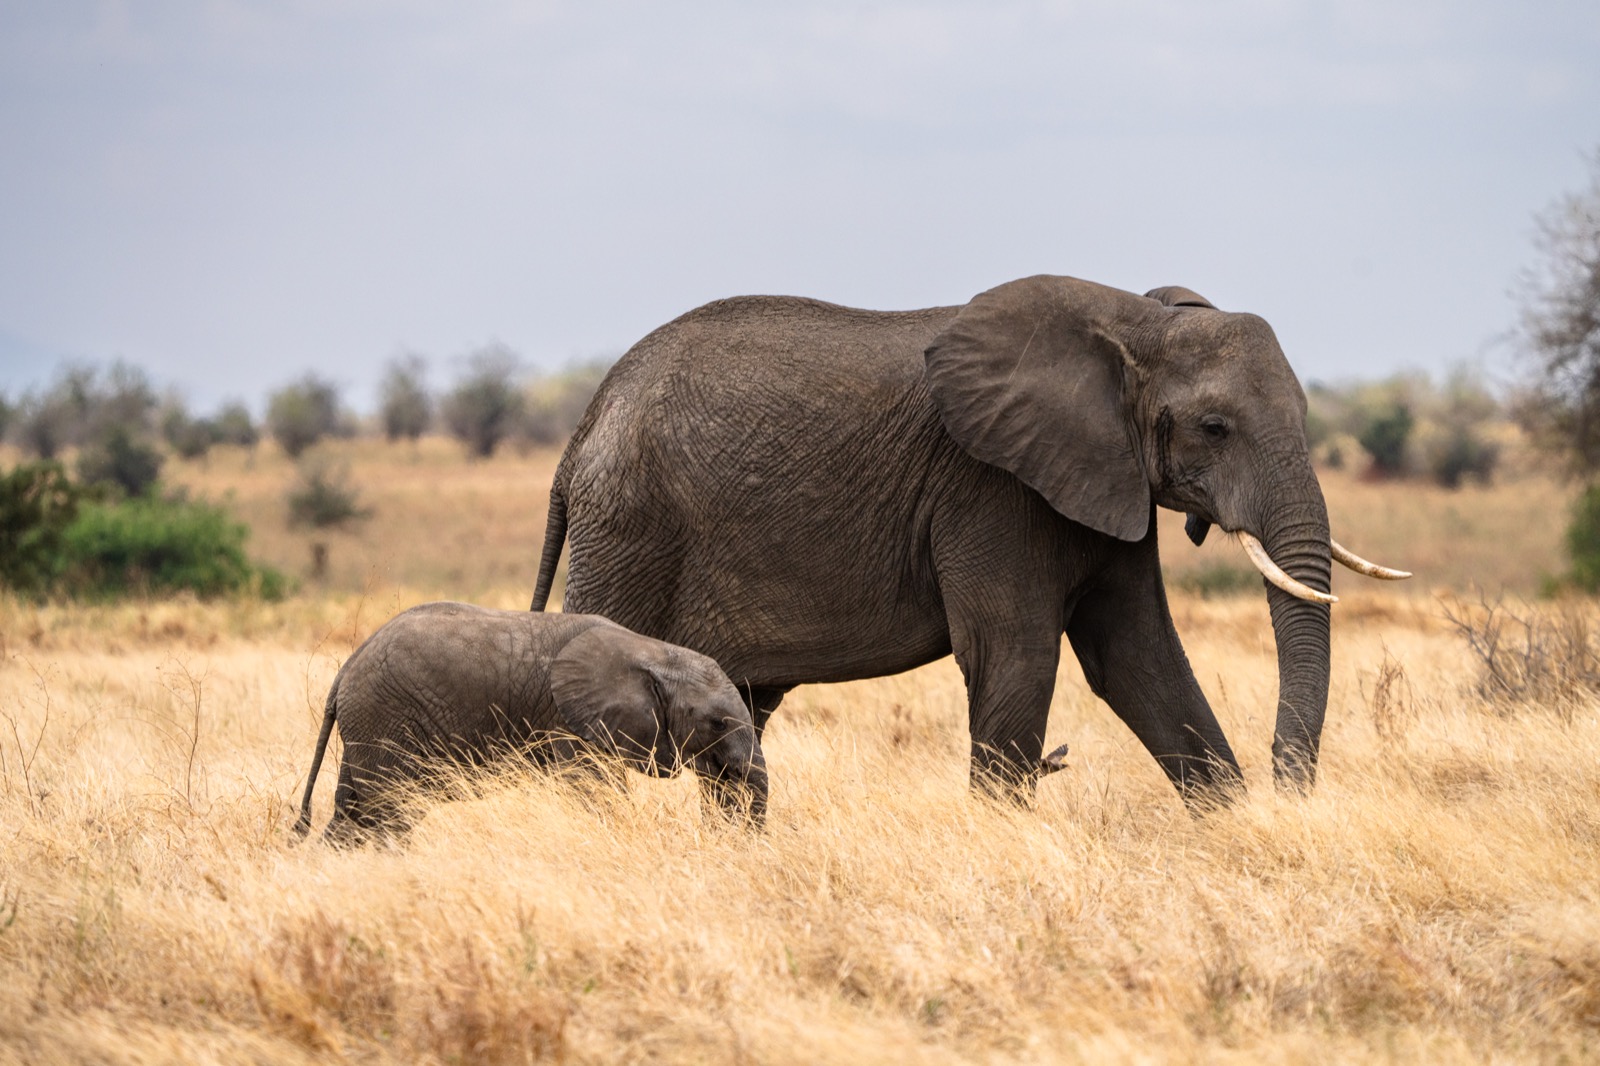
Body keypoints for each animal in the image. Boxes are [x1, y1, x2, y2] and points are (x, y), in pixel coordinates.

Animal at [293, 602, 768, 842]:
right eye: (717, 723)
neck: (652, 651)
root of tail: (344, 672)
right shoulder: (568, 720)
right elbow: (594, 790)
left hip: (371, 725)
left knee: (353, 810)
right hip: (387, 719)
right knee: (392, 809)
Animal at [530, 276, 1408, 804]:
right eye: (1216, 428)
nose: (1289, 793)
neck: (1133, 317)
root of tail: (581, 433)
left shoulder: (1100, 478)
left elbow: (1138, 657)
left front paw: (1232, 827)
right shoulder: (991, 487)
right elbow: (1017, 653)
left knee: (742, 712)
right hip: (632, 528)